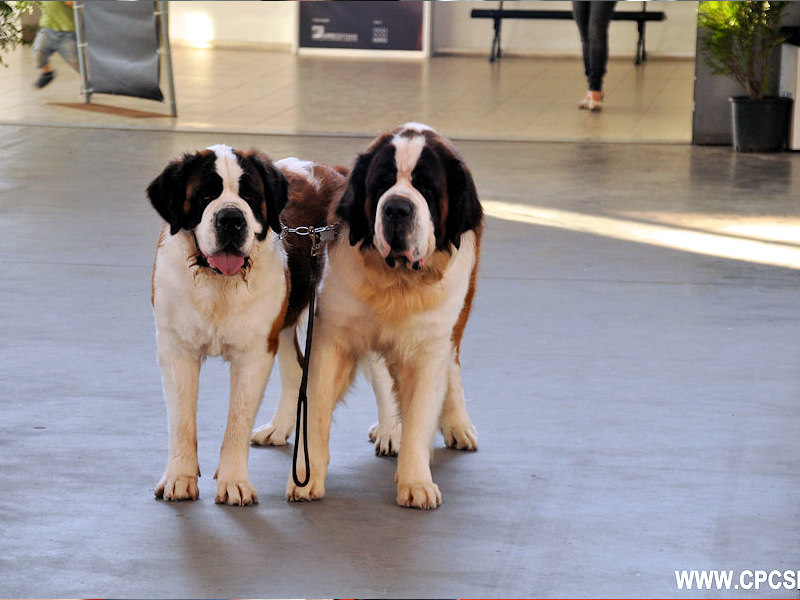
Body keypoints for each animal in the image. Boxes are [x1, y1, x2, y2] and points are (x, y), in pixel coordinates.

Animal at [147, 145, 346, 506]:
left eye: (250, 197)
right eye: (205, 195)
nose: (231, 218)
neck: (217, 284)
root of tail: (334, 171)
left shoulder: (254, 354)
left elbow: (237, 420)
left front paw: (234, 483)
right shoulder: (177, 350)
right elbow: (181, 420)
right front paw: (179, 478)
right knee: (297, 372)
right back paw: (279, 429)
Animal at [270, 123, 484, 509]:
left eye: (427, 188)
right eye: (381, 183)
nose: (397, 208)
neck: (396, 283)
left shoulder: (428, 348)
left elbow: (420, 414)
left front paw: (416, 482)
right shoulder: (333, 338)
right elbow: (316, 406)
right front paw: (308, 478)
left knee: (452, 366)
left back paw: (455, 425)